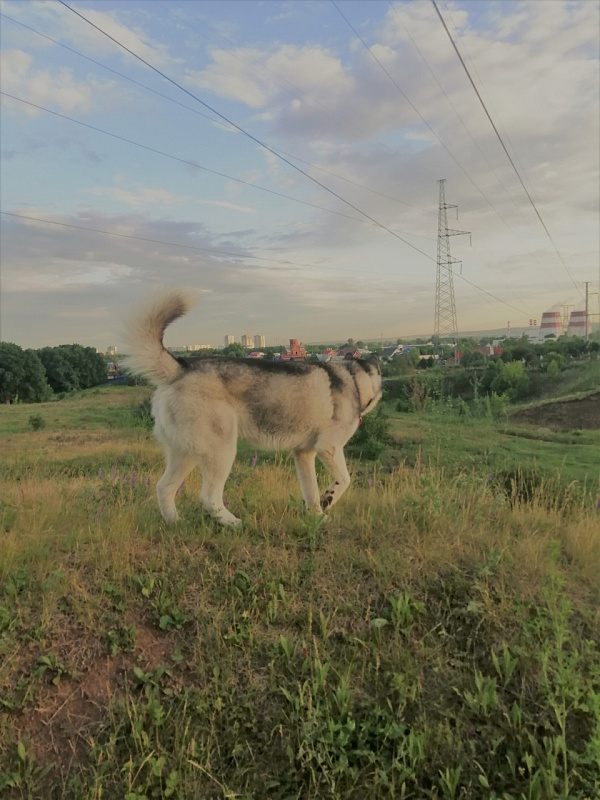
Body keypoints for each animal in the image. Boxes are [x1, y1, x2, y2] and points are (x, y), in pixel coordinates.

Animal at [127, 290, 382, 528]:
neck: (354, 379)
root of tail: (180, 368)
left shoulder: (304, 454)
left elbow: (311, 493)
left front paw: (317, 516)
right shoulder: (328, 448)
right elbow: (344, 480)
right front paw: (328, 498)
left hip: (185, 454)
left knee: (164, 488)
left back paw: (176, 524)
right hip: (221, 451)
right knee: (208, 497)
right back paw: (234, 524)